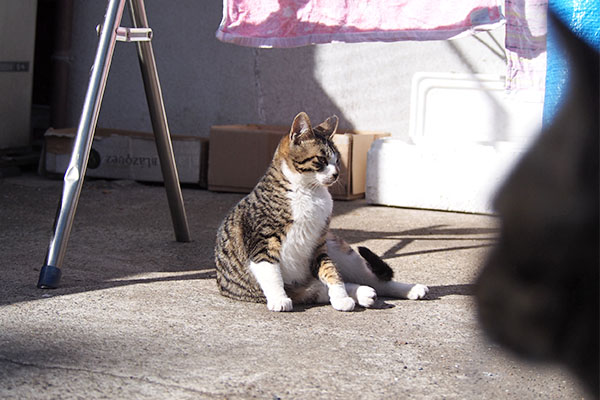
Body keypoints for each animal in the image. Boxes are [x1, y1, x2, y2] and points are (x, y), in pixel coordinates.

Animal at [213, 111, 428, 310]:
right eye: (321, 160)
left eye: (338, 161)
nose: (337, 173)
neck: (309, 192)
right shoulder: (263, 242)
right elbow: (271, 273)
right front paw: (279, 299)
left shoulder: (318, 245)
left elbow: (332, 273)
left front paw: (341, 297)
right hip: (304, 286)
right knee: (324, 288)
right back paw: (363, 293)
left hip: (340, 250)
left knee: (370, 280)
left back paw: (408, 289)